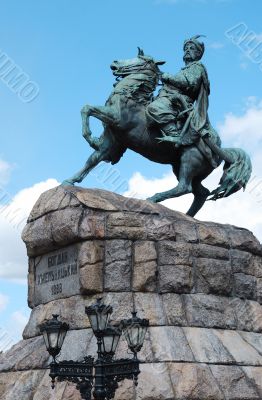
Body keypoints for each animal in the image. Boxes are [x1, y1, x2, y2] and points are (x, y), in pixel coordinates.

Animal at [62, 50, 253, 219]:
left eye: (140, 59)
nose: (114, 63)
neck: (130, 98)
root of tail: (222, 149)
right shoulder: (111, 142)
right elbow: (92, 160)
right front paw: (70, 181)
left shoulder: (115, 118)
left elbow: (87, 108)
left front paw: (89, 136)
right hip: (182, 167)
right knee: (201, 193)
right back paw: (188, 216)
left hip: (189, 161)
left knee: (185, 187)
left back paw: (154, 198)